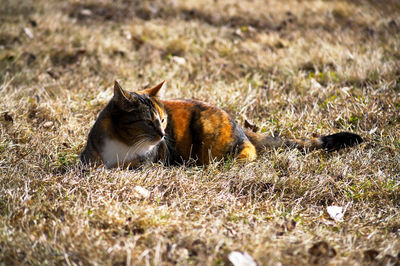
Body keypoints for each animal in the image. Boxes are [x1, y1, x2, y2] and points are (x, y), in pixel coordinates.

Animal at [80, 81, 362, 168]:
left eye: (163, 120)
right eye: (149, 122)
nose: (162, 135)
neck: (123, 142)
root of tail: (237, 123)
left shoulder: (149, 164)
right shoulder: (89, 160)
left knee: (249, 152)